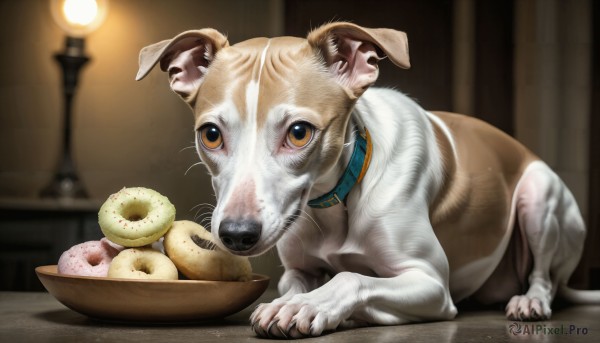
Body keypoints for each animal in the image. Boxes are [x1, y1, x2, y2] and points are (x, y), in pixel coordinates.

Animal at [137, 22, 600, 340]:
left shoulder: (431, 282)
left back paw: (530, 301)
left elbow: (351, 278)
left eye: (299, 132)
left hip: (539, 198)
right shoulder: (299, 267)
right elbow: (294, 283)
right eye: (211, 134)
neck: (334, 203)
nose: (236, 234)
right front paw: (291, 301)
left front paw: (308, 307)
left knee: (543, 277)